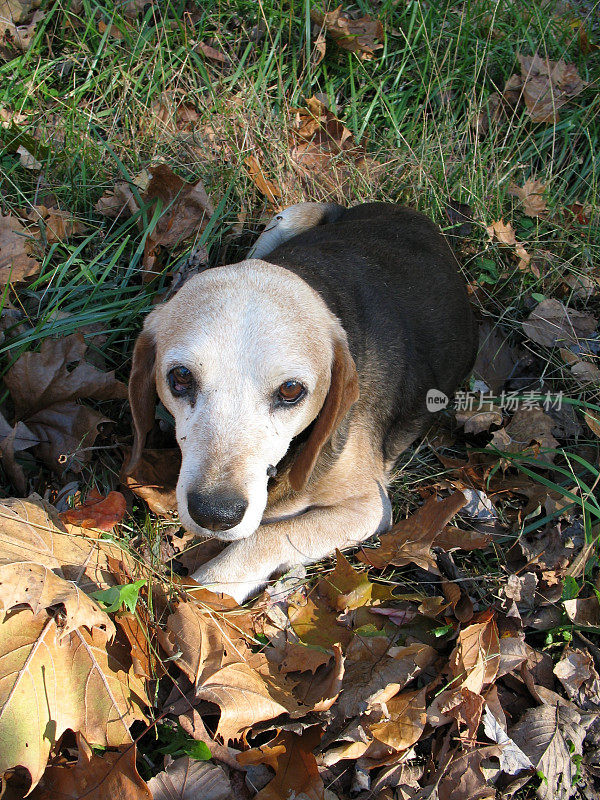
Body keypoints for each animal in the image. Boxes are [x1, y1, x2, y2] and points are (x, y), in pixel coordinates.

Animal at [127, 203, 478, 604]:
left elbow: (266, 536)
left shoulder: (369, 507)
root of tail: (412, 214)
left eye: (291, 390)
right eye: (182, 376)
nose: (215, 513)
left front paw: (208, 590)